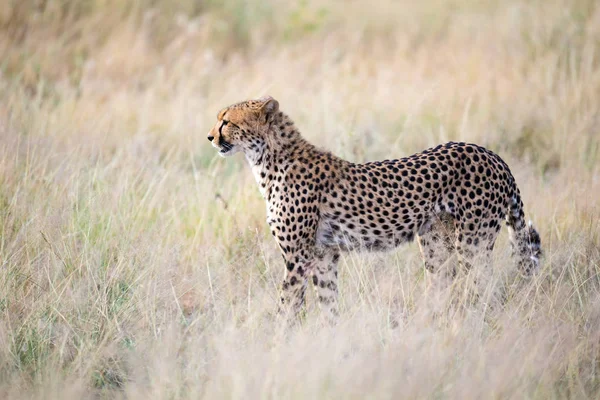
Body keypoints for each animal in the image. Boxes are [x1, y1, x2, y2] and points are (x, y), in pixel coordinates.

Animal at [209, 97, 540, 322]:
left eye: (227, 121)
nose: (210, 137)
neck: (268, 160)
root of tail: (491, 154)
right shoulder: (324, 255)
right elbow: (327, 302)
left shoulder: (298, 257)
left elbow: (287, 305)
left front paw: (277, 345)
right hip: (437, 245)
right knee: (445, 284)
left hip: (473, 242)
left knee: (485, 287)